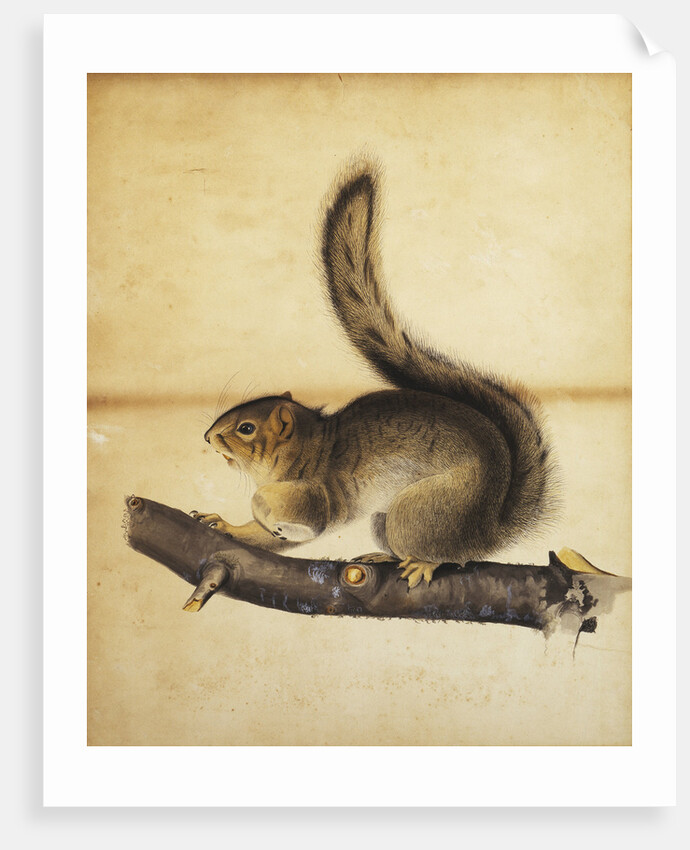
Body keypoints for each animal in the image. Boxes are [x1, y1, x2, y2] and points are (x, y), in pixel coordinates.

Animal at [193, 161, 558, 588]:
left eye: (246, 428)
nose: (208, 437)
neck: (310, 448)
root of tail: (490, 530)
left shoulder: (322, 494)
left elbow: (302, 516)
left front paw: (266, 510)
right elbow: (260, 536)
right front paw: (222, 524)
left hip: (419, 511)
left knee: (451, 555)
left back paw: (423, 564)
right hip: (384, 521)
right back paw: (383, 557)